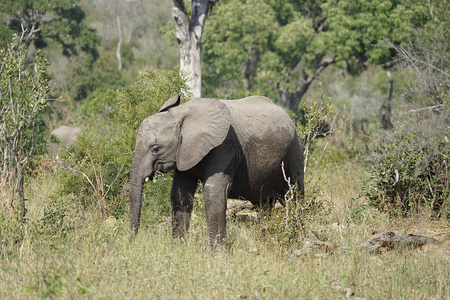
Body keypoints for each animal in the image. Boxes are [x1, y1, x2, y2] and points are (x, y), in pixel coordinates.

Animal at [130, 95, 306, 248]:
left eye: (155, 148)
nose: (132, 242)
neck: (180, 115)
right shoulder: (184, 153)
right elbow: (180, 194)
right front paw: (177, 248)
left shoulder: (224, 147)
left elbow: (213, 194)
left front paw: (216, 254)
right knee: (263, 205)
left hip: (295, 150)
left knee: (295, 196)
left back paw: (298, 241)